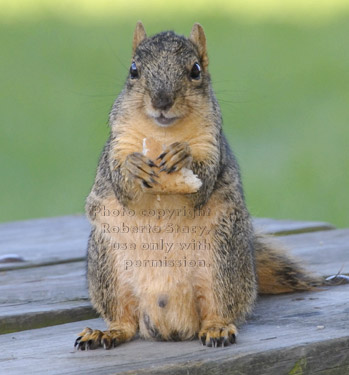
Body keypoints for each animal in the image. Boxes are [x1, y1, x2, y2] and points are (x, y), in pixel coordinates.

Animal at [75, 22, 320, 352]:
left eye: (195, 70)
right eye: (133, 70)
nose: (162, 101)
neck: (162, 133)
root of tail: (170, 323)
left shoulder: (211, 143)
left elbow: (203, 180)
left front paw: (184, 156)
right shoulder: (118, 144)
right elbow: (122, 186)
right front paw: (133, 167)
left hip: (223, 265)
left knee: (219, 308)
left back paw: (217, 328)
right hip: (107, 270)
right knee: (124, 321)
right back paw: (107, 332)